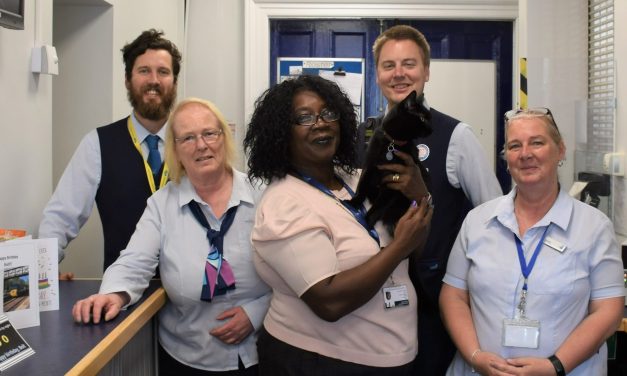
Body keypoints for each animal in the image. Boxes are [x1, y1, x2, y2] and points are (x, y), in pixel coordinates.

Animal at [350, 89, 434, 234]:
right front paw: (353, 202)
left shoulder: (394, 184)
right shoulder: (370, 166)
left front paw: (366, 222)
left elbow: (378, 206)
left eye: (429, 118)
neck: (392, 143)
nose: (432, 129)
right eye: (423, 118)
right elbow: (362, 186)